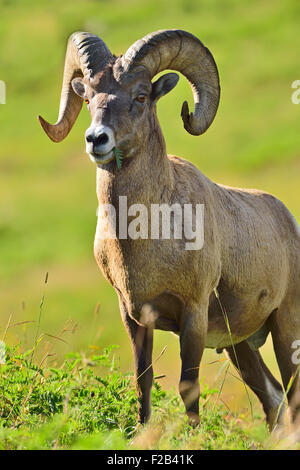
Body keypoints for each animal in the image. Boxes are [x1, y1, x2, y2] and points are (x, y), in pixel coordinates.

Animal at [39, 31, 300, 432]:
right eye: (88, 97)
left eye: (141, 96)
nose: (96, 139)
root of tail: (288, 220)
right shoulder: (133, 317)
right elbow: (143, 383)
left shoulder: (193, 315)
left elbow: (188, 387)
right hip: (240, 346)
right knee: (273, 399)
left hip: (286, 327)